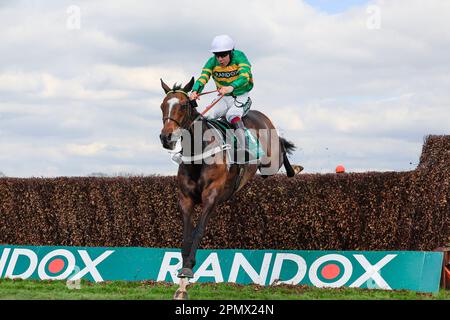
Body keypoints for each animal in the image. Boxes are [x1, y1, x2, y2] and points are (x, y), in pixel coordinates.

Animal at [160, 77, 300, 300]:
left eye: (182, 105)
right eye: (162, 105)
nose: (166, 137)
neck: (199, 154)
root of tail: (260, 115)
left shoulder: (211, 196)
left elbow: (198, 232)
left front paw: (188, 270)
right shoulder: (185, 199)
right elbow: (186, 237)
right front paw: (182, 285)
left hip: (270, 161)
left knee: (282, 148)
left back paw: (295, 167)